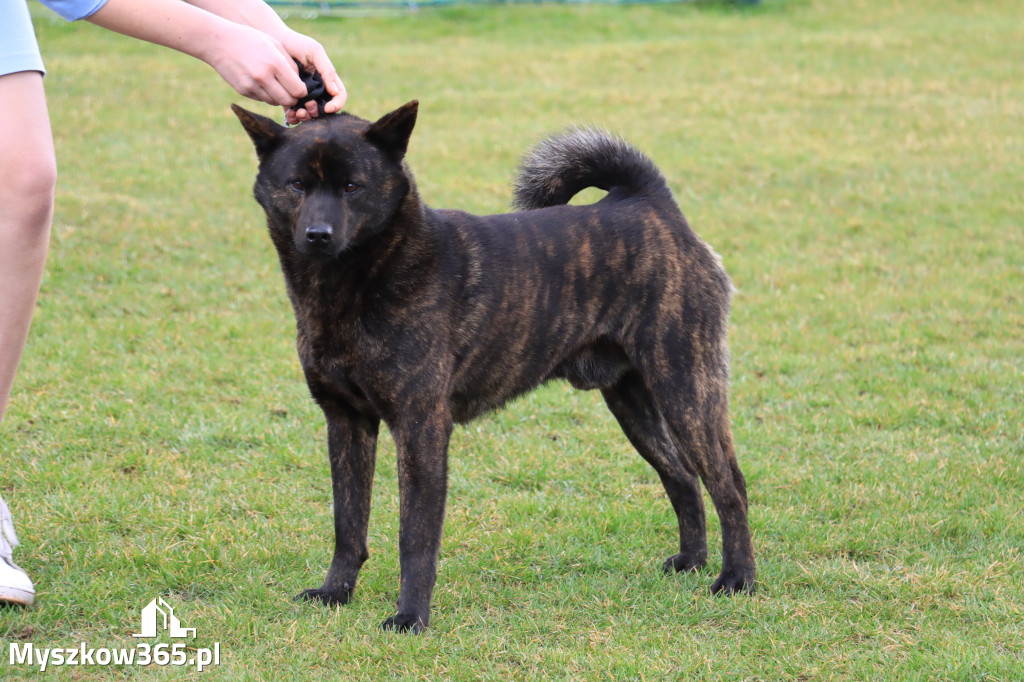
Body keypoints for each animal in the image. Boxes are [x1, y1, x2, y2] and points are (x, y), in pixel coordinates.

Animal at [235, 102, 757, 630]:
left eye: (351, 186)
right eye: (297, 184)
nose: (318, 236)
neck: (361, 278)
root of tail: (649, 202)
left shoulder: (421, 427)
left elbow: (415, 536)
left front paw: (411, 617)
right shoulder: (346, 422)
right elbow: (348, 523)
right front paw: (335, 592)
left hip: (687, 387)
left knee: (728, 484)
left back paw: (737, 579)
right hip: (633, 402)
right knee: (682, 476)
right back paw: (691, 561)